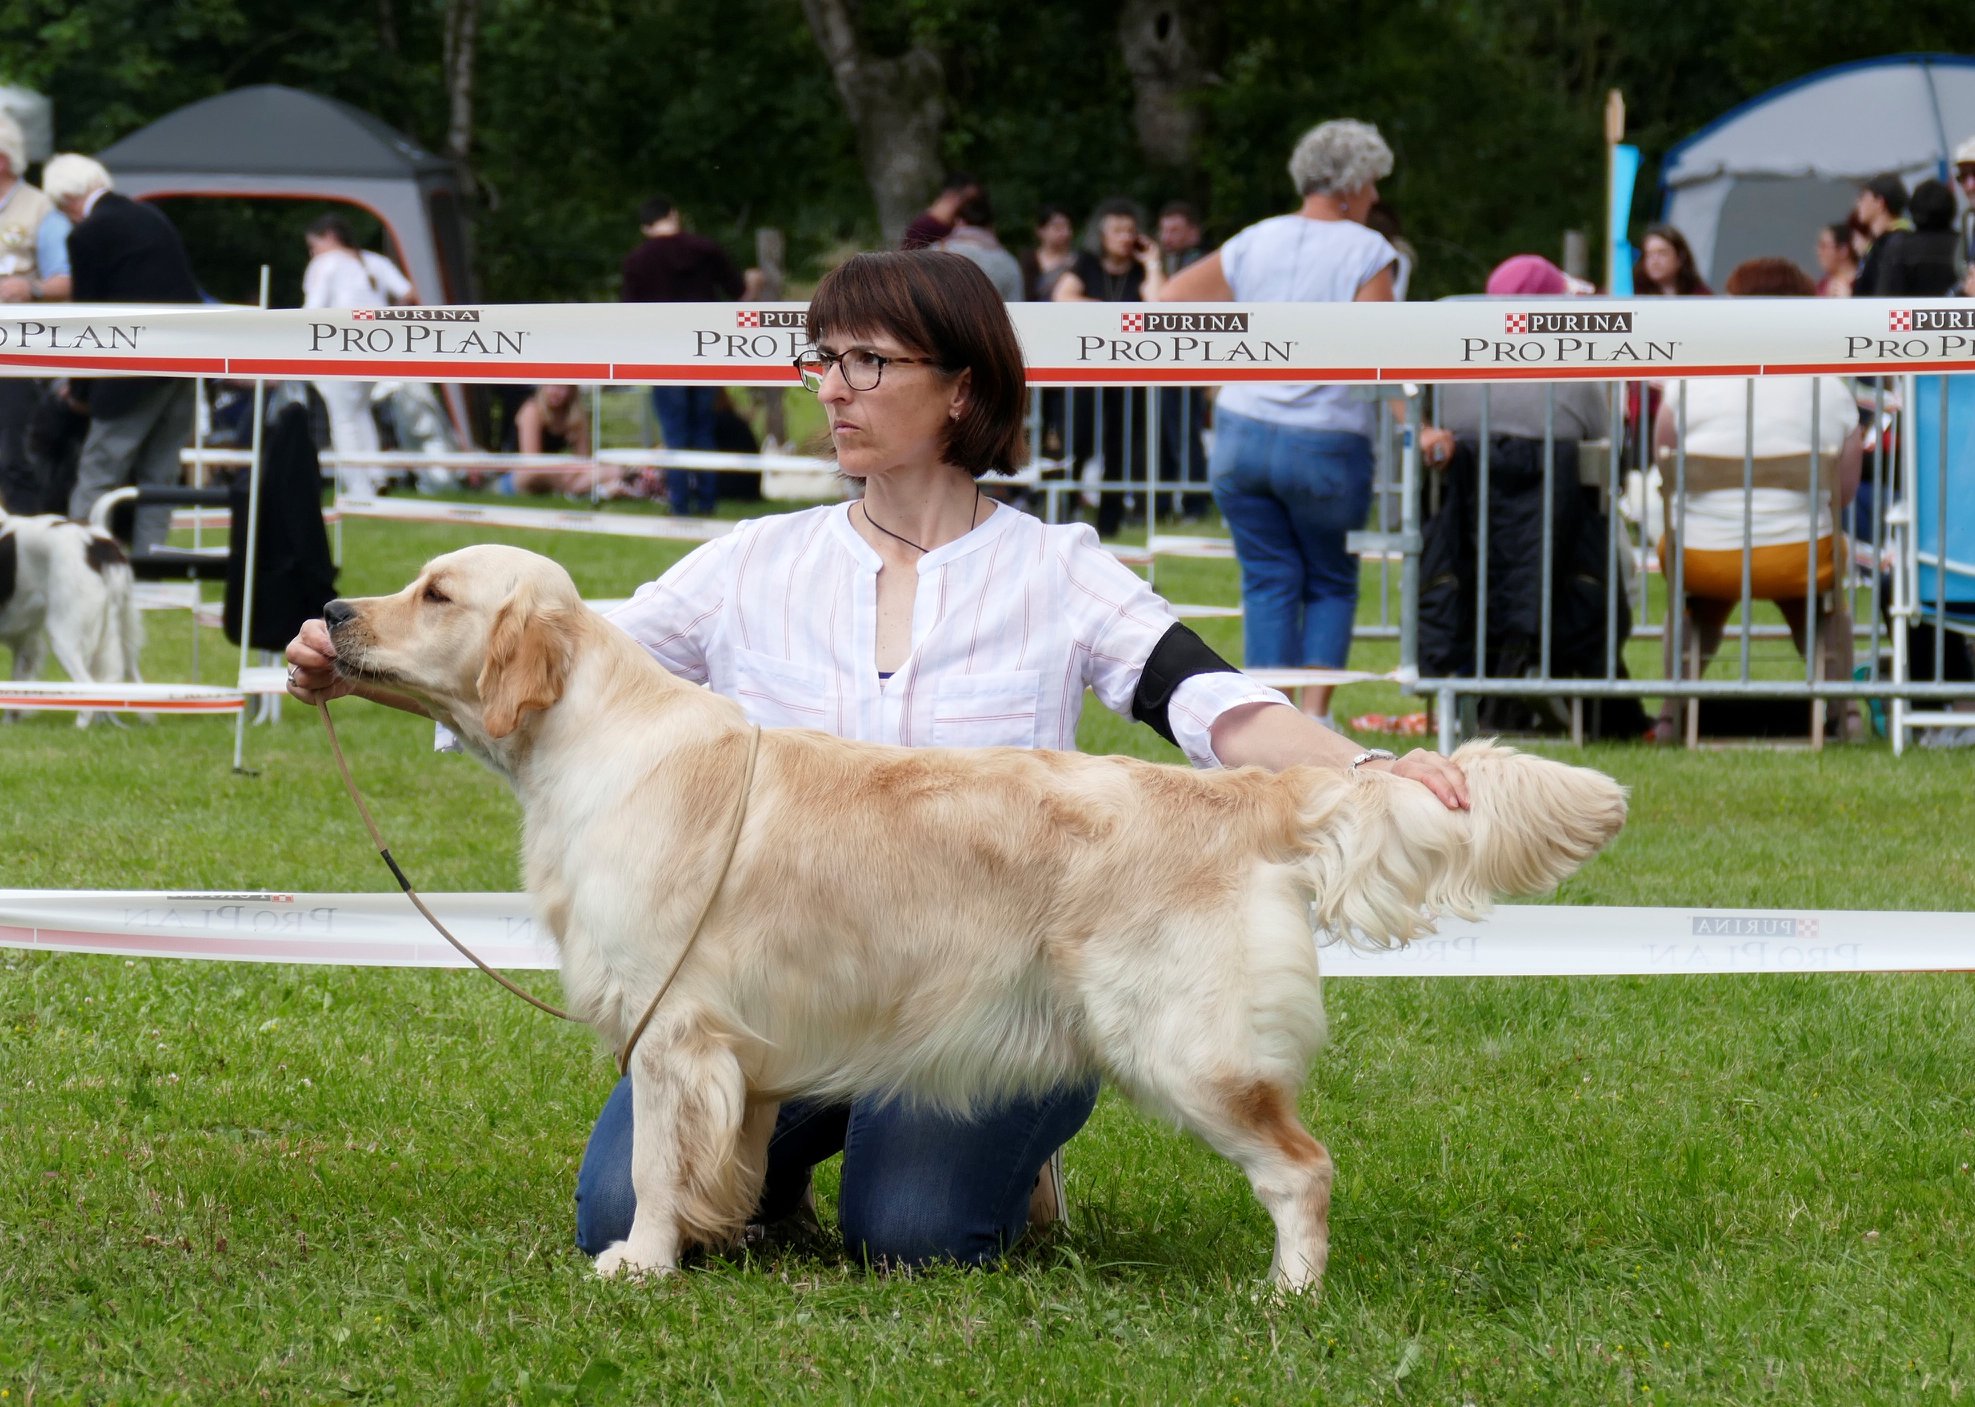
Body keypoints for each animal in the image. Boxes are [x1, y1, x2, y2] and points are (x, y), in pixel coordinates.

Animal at [0, 509, 143, 727]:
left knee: (90, 688)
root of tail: (96, 543)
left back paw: (79, 727)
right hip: (124, 633)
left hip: (64, 636)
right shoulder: (24, 638)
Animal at [319, 545, 1619, 1288]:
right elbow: (717, 1162)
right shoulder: (736, 1050)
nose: (328, 609)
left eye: (436, 593)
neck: (590, 740)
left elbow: (646, 1165)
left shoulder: (672, 1026)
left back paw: (1287, 1295)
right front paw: (720, 1236)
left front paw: (639, 1263)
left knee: (1301, 1168)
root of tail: (1239, 793)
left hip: (1183, 1047)